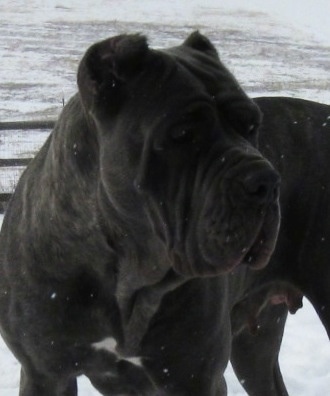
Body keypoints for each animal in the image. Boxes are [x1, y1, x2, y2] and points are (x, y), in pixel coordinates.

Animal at [0, 32, 280, 394]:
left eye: (251, 125)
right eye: (182, 134)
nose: (265, 182)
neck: (126, 274)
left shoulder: (196, 378)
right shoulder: (44, 373)